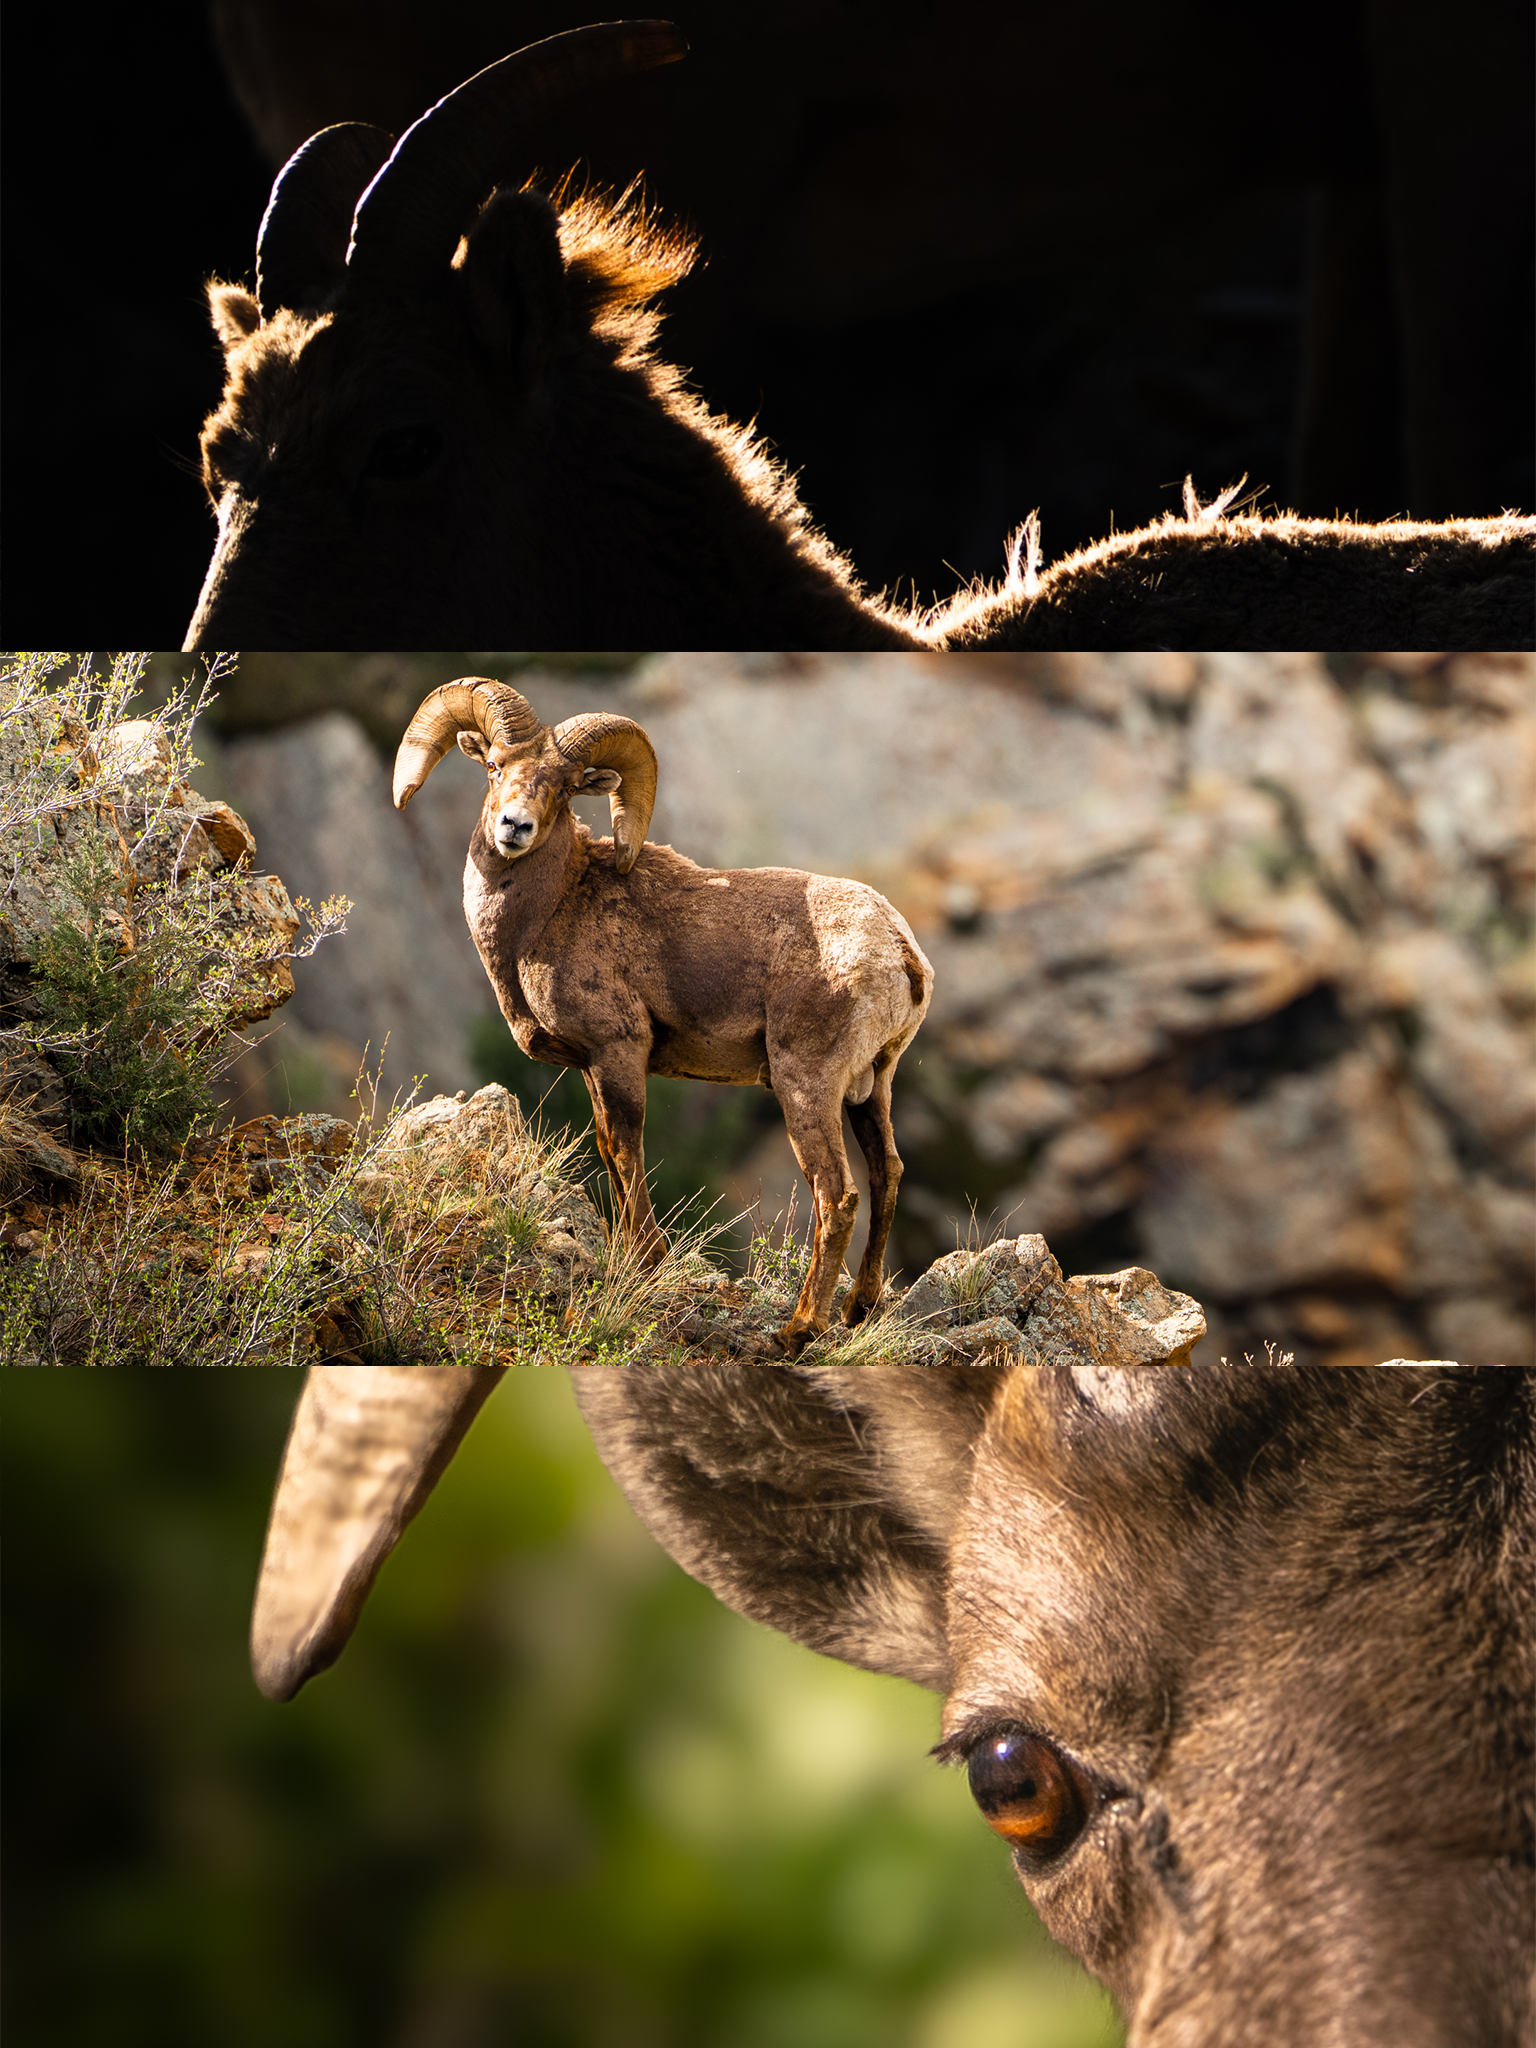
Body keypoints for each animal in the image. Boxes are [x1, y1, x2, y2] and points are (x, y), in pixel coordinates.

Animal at [393, 675, 933, 1356]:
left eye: (564, 787)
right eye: (493, 767)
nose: (514, 826)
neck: (548, 914)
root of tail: (901, 953)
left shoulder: (620, 1053)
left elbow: (628, 1151)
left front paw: (648, 1261)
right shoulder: (591, 1068)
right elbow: (606, 1150)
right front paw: (626, 1255)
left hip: (805, 1084)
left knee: (836, 1194)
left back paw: (798, 1331)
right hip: (871, 1089)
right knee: (887, 1174)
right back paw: (859, 1311)